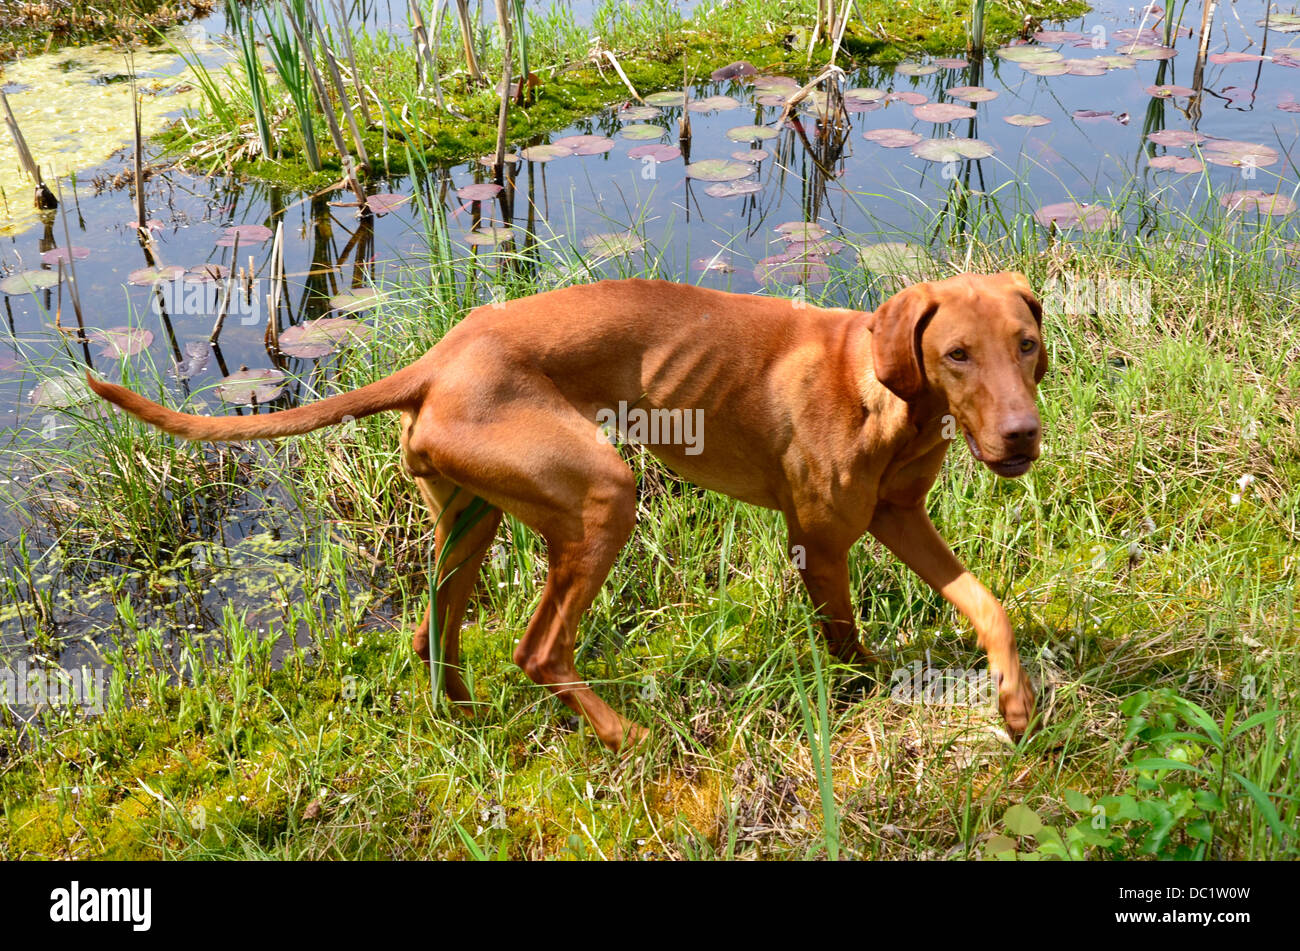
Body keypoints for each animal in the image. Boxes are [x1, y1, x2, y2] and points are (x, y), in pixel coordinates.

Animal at [86, 268, 1045, 748]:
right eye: (957, 354)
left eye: (1027, 344)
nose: (1023, 437)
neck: (884, 393)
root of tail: (436, 358)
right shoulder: (822, 539)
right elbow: (845, 641)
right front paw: (863, 696)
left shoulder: (899, 518)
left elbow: (989, 604)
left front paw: (1014, 703)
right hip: (604, 496)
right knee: (538, 647)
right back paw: (627, 737)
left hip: (472, 517)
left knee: (433, 632)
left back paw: (468, 724)